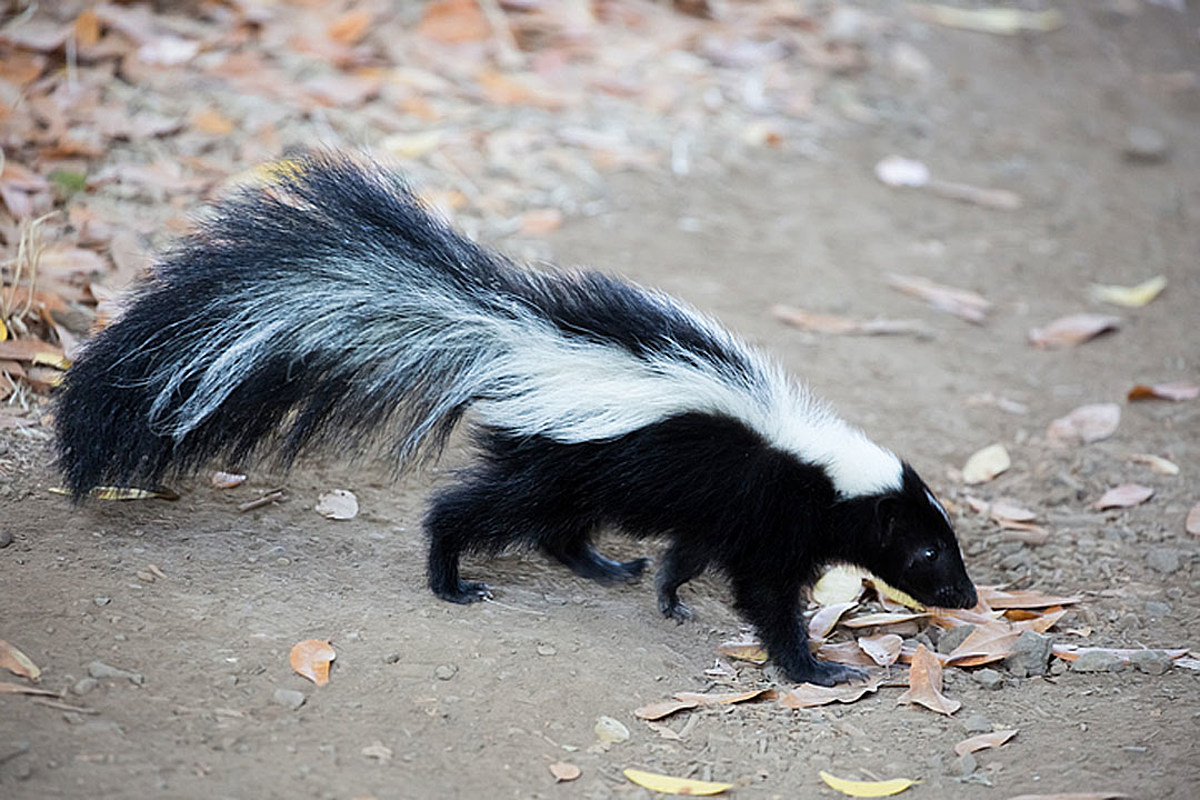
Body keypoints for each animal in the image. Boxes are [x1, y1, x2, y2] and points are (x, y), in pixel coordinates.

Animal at [54, 153, 974, 686]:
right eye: (929, 551)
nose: (965, 598)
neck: (816, 466)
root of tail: (517, 341)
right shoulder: (762, 510)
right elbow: (765, 597)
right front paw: (815, 669)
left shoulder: (727, 513)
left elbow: (689, 554)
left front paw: (670, 597)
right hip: (558, 464)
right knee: (472, 509)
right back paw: (451, 579)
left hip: (574, 467)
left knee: (560, 532)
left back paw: (607, 568)